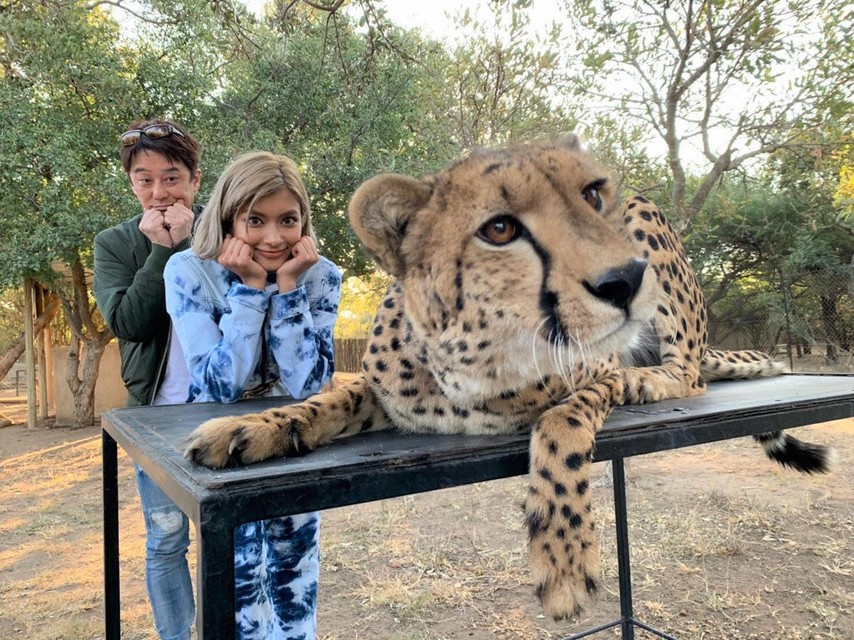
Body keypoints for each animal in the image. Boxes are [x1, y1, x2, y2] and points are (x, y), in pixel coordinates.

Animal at [184, 134, 832, 620]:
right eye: (499, 229)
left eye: (593, 194)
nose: (624, 278)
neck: (477, 358)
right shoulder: (386, 396)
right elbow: (326, 402)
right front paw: (252, 428)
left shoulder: (595, 373)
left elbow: (560, 424)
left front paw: (564, 559)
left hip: (648, 226)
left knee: (691, 373)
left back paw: (651, 379)